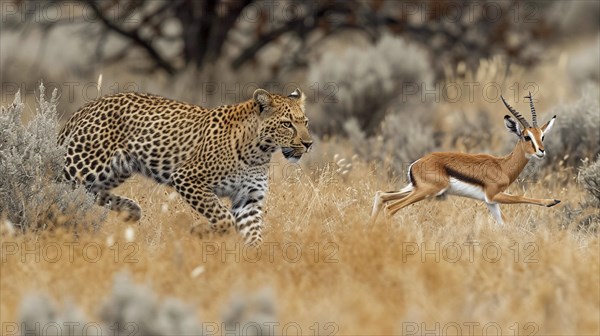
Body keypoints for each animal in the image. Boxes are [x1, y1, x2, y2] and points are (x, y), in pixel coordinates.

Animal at [58, 88, 312, 245]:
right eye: (287, 124)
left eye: (305, 122)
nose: (308, 144)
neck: (259, 153)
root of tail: (89, 105)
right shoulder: (187, 178)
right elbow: (223, 218)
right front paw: (199, 231)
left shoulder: (249, 198)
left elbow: (254, 234)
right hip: (83, 166)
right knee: (56, 182)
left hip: (115, 170)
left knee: (90, 192)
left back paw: (131, 209)